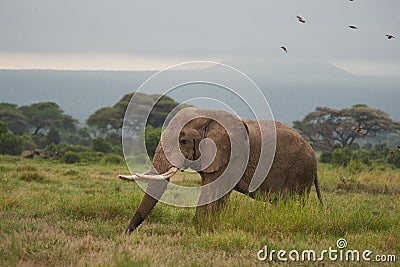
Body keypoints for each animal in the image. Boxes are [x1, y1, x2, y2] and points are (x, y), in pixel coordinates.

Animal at [119, 108, 322, 236]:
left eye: (183, 141)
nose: (126, 233)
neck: (209, 117)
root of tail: (314, 156)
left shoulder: (231, 155)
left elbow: (214, 189)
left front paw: (199, 229)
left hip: (299, 171)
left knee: (293, 202)